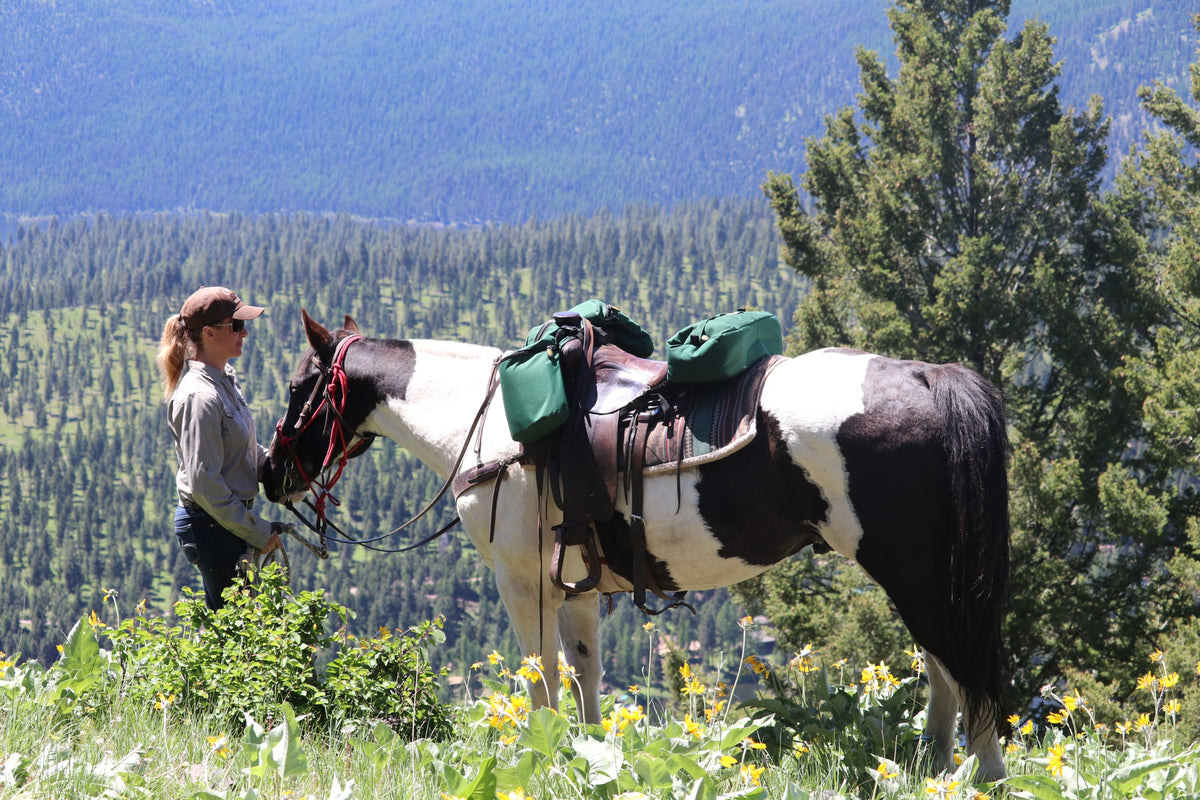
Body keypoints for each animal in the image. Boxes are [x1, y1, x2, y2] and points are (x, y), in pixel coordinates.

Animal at [260, 310, 1011, 781]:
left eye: (298, 388)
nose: (269, 474)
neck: (485, 421)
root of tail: (928, 377)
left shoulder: (521, 579)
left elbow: (541, 680)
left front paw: (542, 759)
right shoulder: (576, 583)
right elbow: (585, 675)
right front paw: (589, 755)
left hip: (911, 573)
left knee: (961, 671)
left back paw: (983, 775)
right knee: (945, 674)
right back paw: (933, 771)